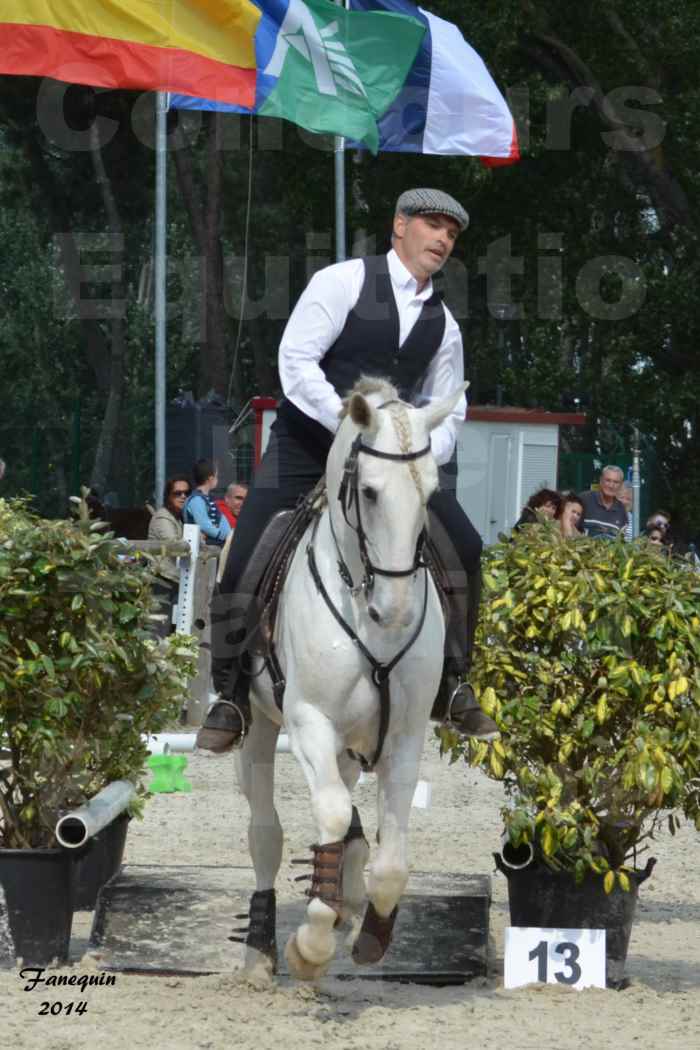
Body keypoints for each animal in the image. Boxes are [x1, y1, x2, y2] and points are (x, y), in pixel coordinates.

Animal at [232, 375, 468, 974]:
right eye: (370, 493)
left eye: (430, 495)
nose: (396, 611)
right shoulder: (309, 721)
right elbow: (333, 816)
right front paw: (310, 947)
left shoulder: (405, 734)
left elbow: (391, 860)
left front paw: (371, 932)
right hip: (260, 726)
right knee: (267, 831)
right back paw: (262, 948)